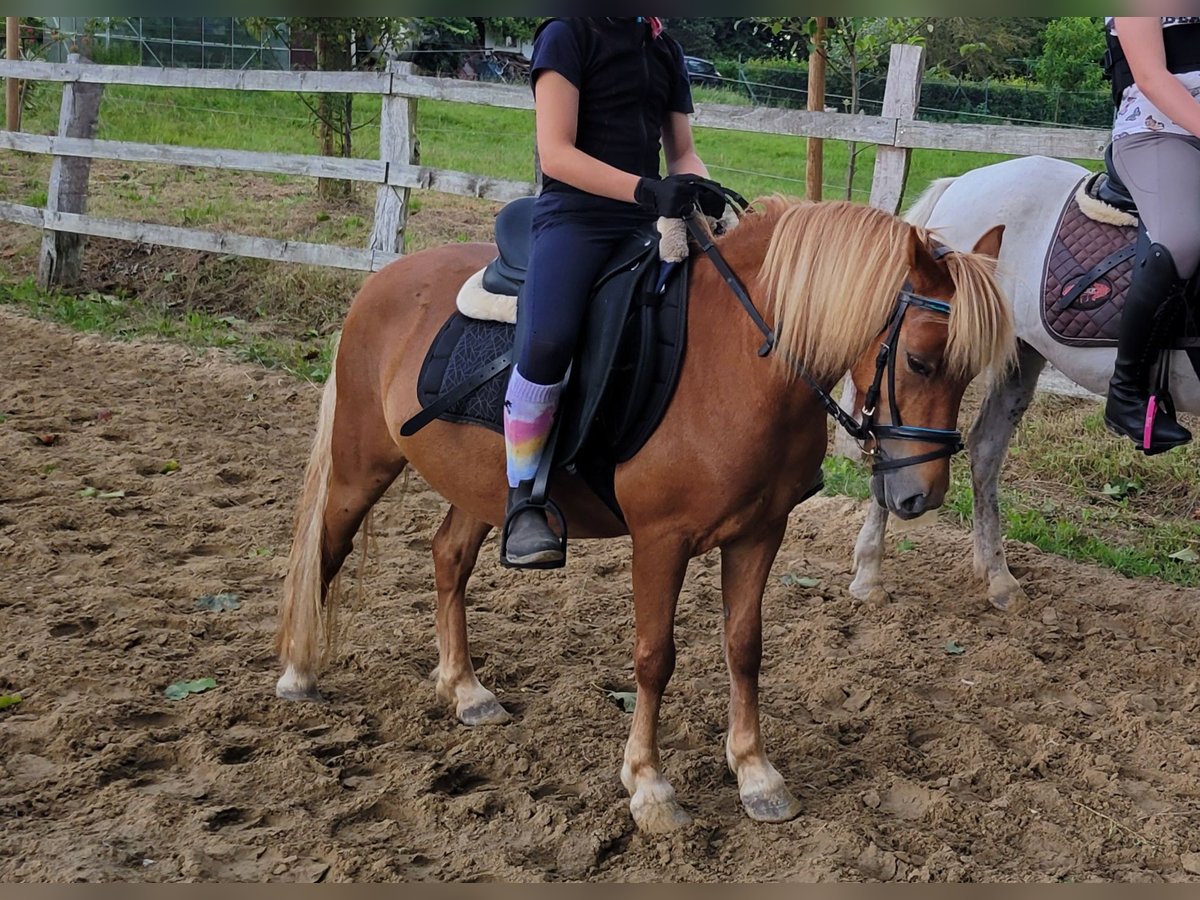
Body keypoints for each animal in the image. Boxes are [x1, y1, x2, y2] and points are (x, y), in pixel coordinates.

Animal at [274, 195, 1012, 830]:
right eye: (919, 359)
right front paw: (650, 785)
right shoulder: (662, 539)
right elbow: (655, 656)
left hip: (477, 487)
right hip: (361, 464)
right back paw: (300, 674)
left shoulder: (759, 533)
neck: (738, 362)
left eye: (970, 370)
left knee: (448, 558)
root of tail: (384, 279)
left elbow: (745, 646)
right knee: (327, 548)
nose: (921, 495)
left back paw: (466, 689)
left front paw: (756, 773)